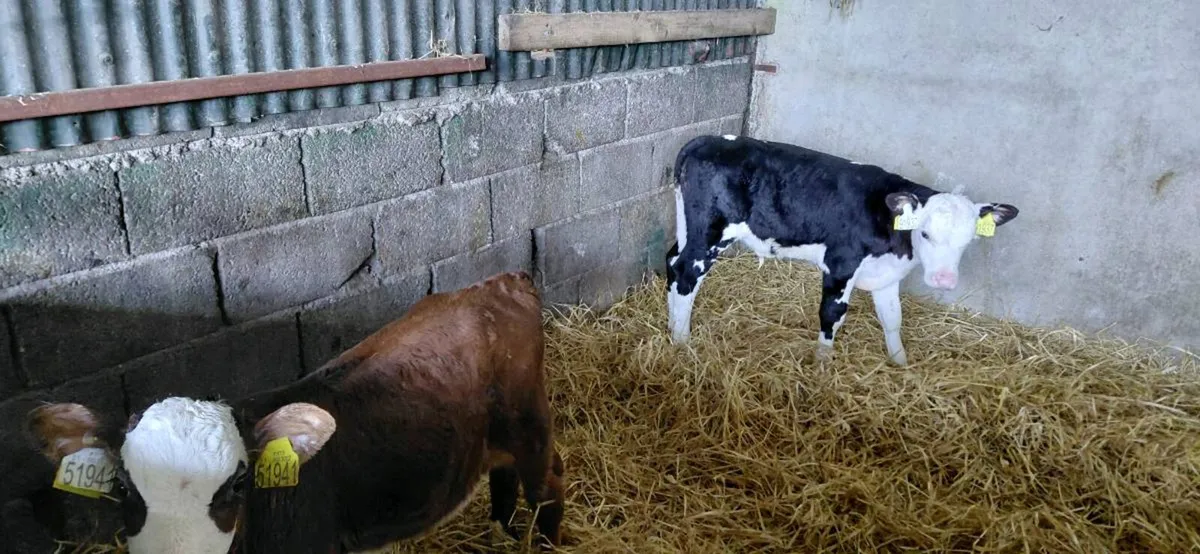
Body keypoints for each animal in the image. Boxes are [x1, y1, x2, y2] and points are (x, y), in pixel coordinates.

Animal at [26, 271, 565, 553]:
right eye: (123, 486)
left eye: (239, 484)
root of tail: (497, 283)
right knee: (503, 476)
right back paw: (503, 531)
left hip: (530, 424)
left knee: (548, 482)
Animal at [666, 135, 1019, 366]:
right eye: (925, 233)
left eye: (969, 241)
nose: (944, 280)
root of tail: (705, 140)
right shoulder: (840, 264)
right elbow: (832, 314)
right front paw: (823, 365)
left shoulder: (887, 275)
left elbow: (893, 319)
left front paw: (901, 364)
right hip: (710, 231)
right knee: (686, 273)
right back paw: (682, 342)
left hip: (687, 226)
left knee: (672, 261)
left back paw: (671, 326)